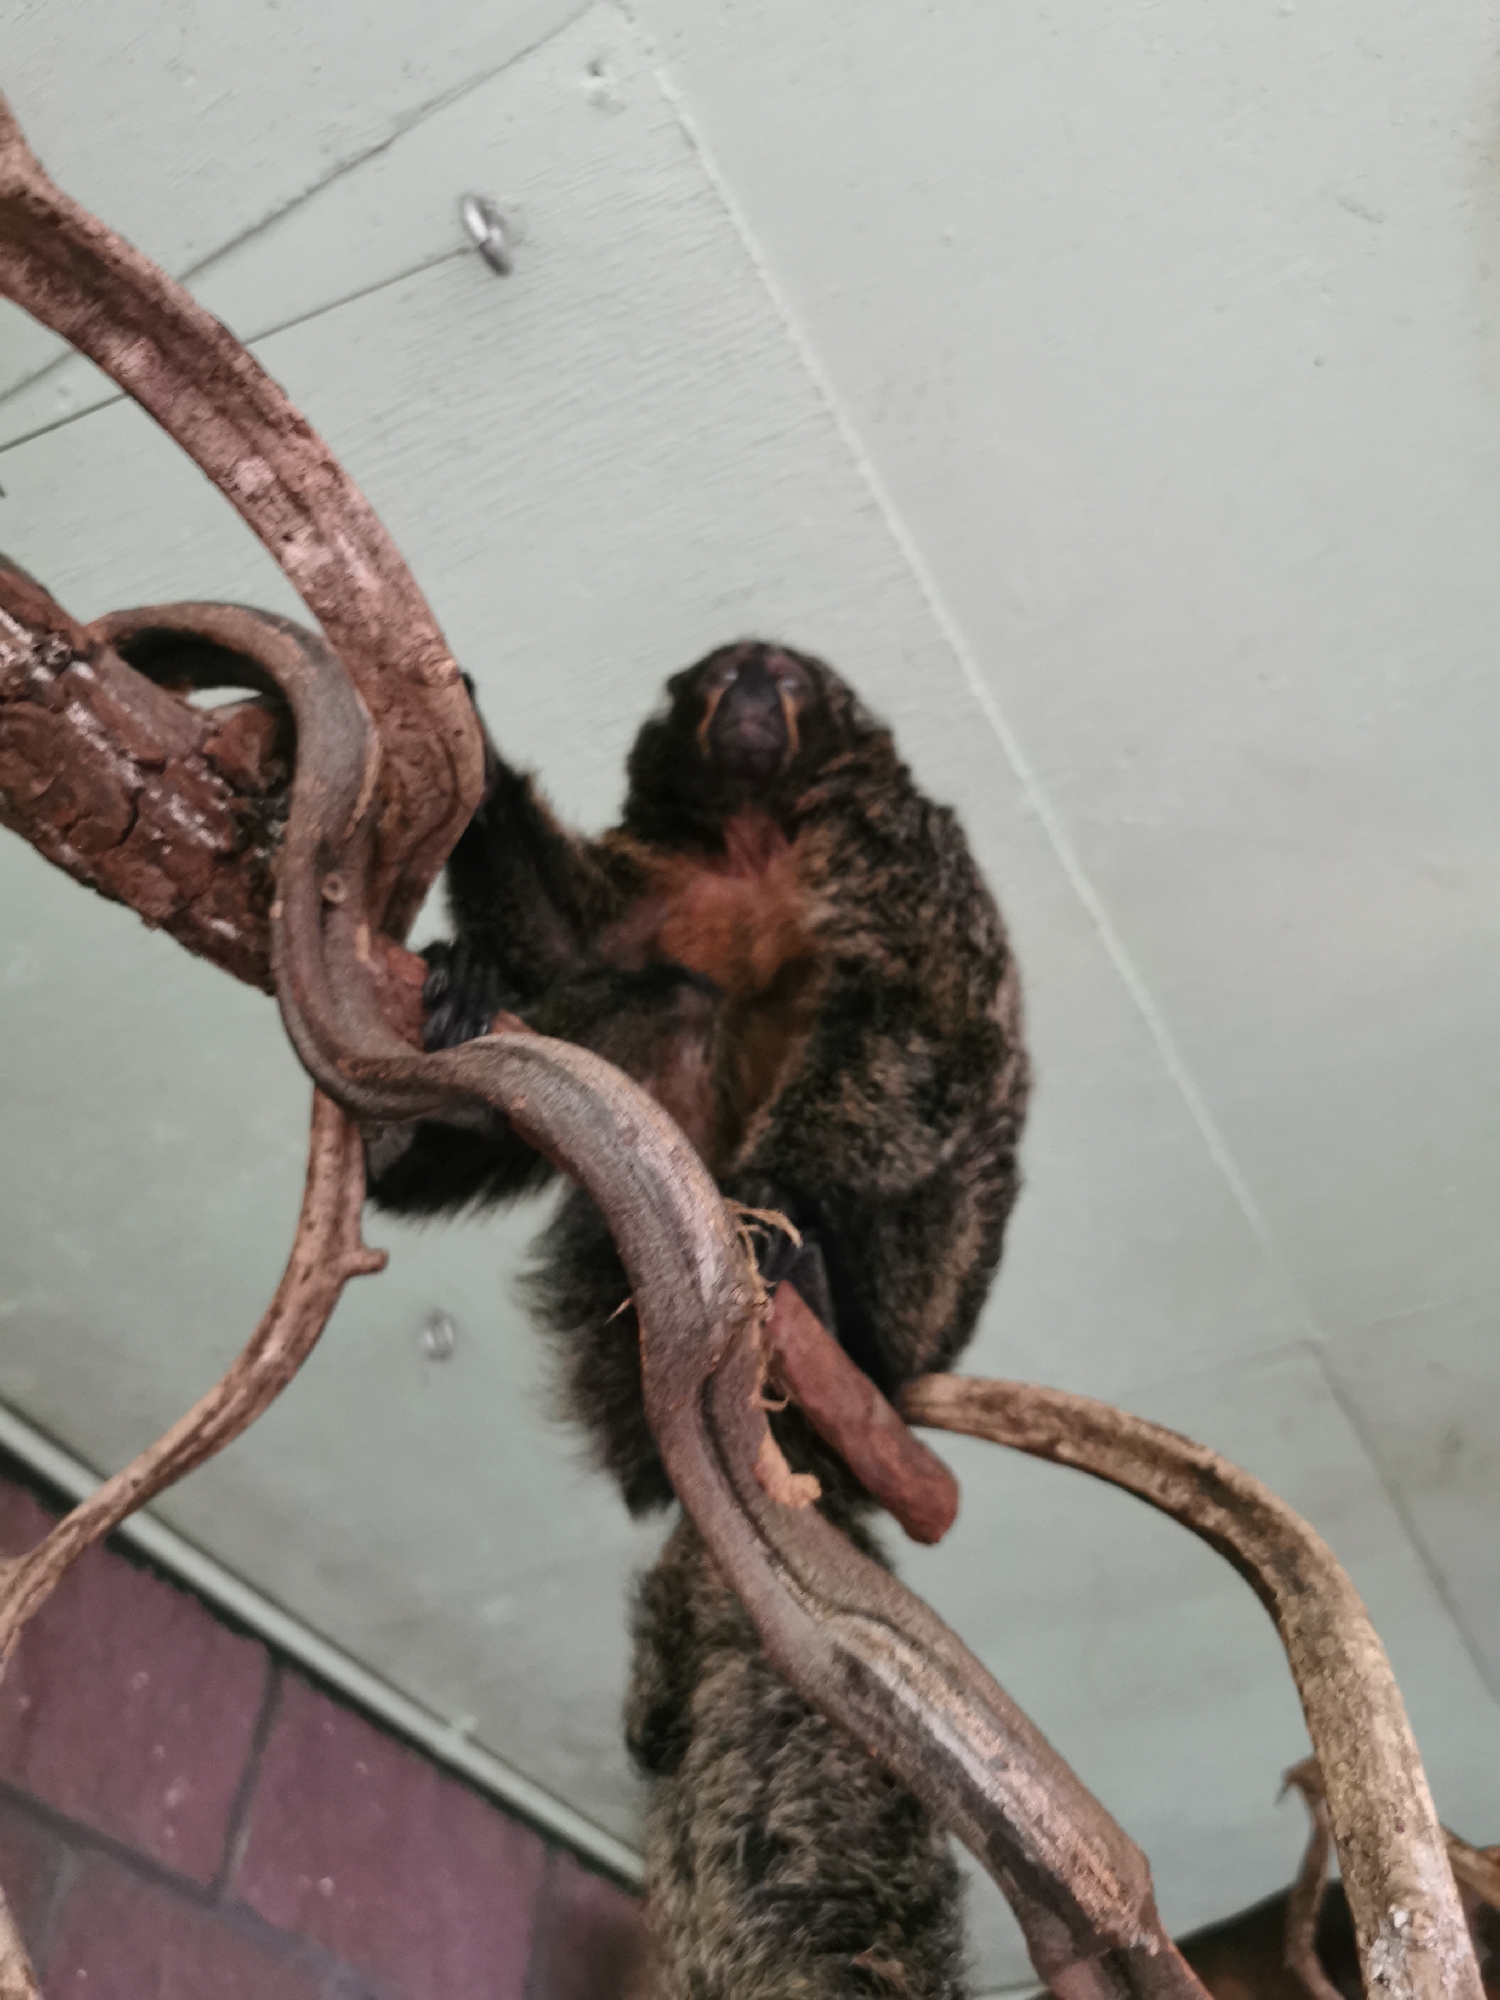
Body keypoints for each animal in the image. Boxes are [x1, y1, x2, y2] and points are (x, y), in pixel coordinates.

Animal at [365, 641, 1030, 1999]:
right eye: (729, 676)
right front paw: (471, 738)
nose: (757, 694)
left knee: (946, 1128)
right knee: (661, 1003)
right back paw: (427, 1119)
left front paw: (778, 1194)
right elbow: (576, 936)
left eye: (788, 678)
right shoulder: (661, 874)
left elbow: (924, 1022)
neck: (755, 841)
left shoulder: (899, 842)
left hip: (916, 1311)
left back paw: (807, 1278)